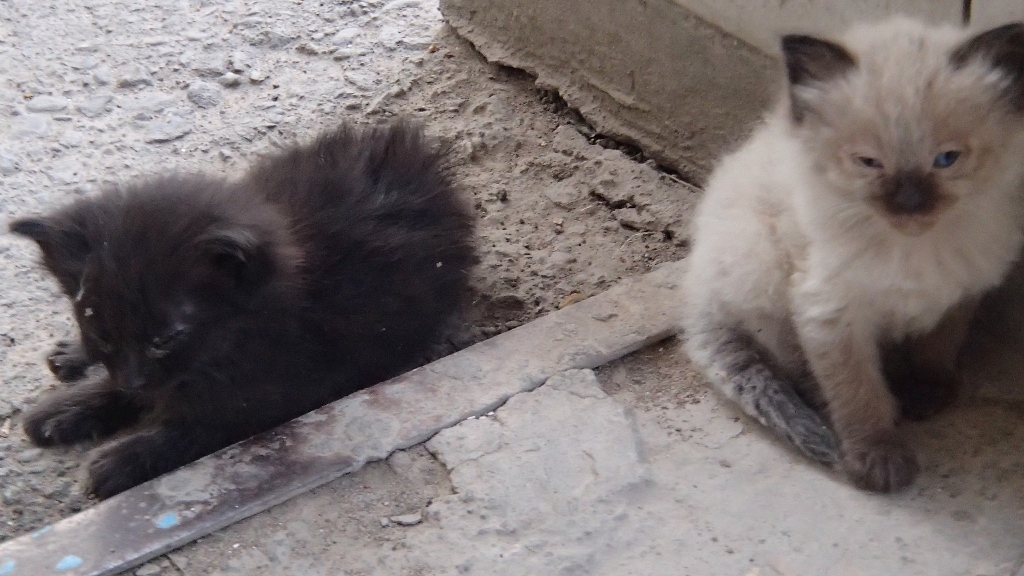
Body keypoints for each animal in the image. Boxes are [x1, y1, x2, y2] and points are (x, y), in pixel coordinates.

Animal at [10, 121, 476, 498]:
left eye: (166, 338)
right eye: (103, 333)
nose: (134, 380)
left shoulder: (282, 392)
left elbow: (196, 428)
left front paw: (122, 460)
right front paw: (71, 407)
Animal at [682, 18, 1024, 492]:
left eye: (946, 159)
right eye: (869, 163)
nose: (910, 205)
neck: (912, 248)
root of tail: (695, 295)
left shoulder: (958, 294)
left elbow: (936, 348)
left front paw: (927, 392)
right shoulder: (831, 313)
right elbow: (859, 394)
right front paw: (877, 460)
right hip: (757, 263)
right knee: (795, 364)